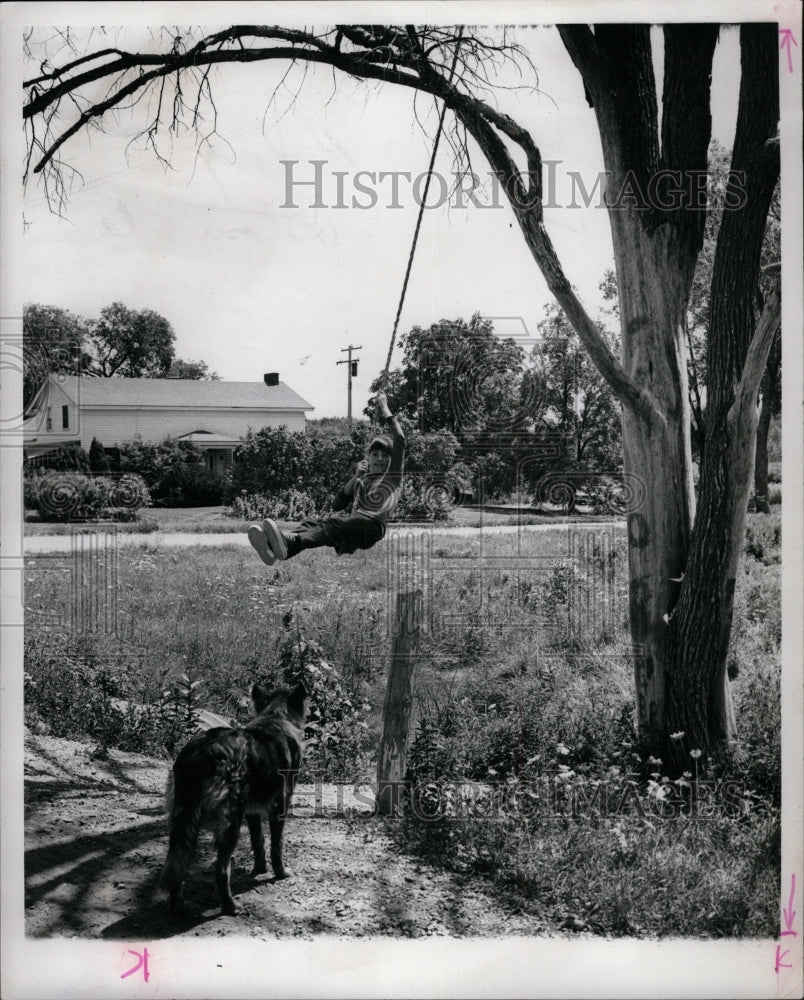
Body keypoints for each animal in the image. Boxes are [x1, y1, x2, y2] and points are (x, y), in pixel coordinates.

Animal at [160, 680, 308, 916]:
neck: (275, 718)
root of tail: (199, 754)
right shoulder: (280, 806)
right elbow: (276, 846)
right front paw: (280, 873)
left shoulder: (252, 811)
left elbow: (259, 842)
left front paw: (259, 869)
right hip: (231, 824)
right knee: (221, 871)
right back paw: (231, 907)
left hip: (182, 821)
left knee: (176, 864)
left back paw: (178, 907)